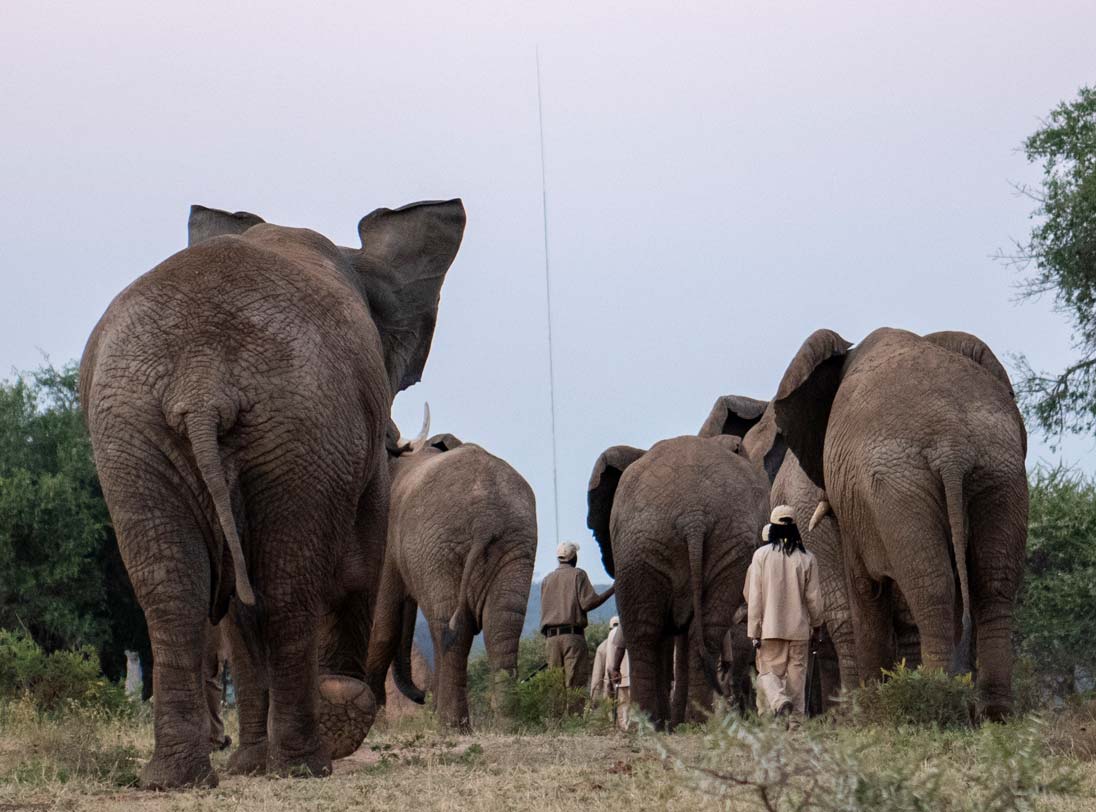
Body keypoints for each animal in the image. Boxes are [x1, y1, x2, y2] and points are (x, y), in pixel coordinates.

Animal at [79, 199, 465, 787]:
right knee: (287, 587)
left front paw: (249, 764)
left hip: (135, 428)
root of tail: (202, 380)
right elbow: (360, 564)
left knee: (175, 588)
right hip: (298, 425)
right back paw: (307, 763)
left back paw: (178, 778)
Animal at [365, 420, 537, 731]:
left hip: (443, 545)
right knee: (500, 624)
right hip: (514, 543)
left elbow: (383, 621)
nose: (422, 696)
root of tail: (486, 518)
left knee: (450, 625)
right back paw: (508, 724)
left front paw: (374, 726)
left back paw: (451, 724)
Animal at [587, 423, 770, 729]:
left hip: (663, 541)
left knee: (648, 631)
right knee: (678, 630)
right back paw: (679, 723)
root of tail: (693, 517)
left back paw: (663, 724)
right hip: (661, 541)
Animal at [752, 327, 1027, 719]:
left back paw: (934, 703)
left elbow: (865, 587)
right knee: (992, 583)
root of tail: (952, 447)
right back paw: (993, 712)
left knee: (930, 586)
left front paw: (871, 710)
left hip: (900, 486)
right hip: (998, 473)